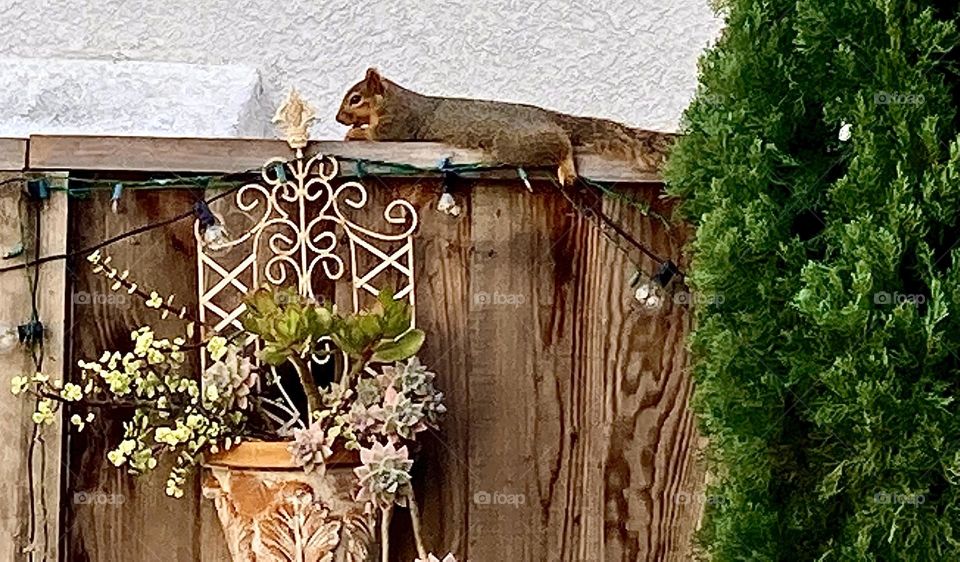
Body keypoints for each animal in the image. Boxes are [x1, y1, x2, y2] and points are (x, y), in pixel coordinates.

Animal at [335, 68, 675, 185]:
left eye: (355, 98)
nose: (339, 118)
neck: (391, 98)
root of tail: (549, 117)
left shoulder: (399, 122)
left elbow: (379, 135)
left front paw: (354, 132)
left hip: (519, 144)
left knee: (562, 145)